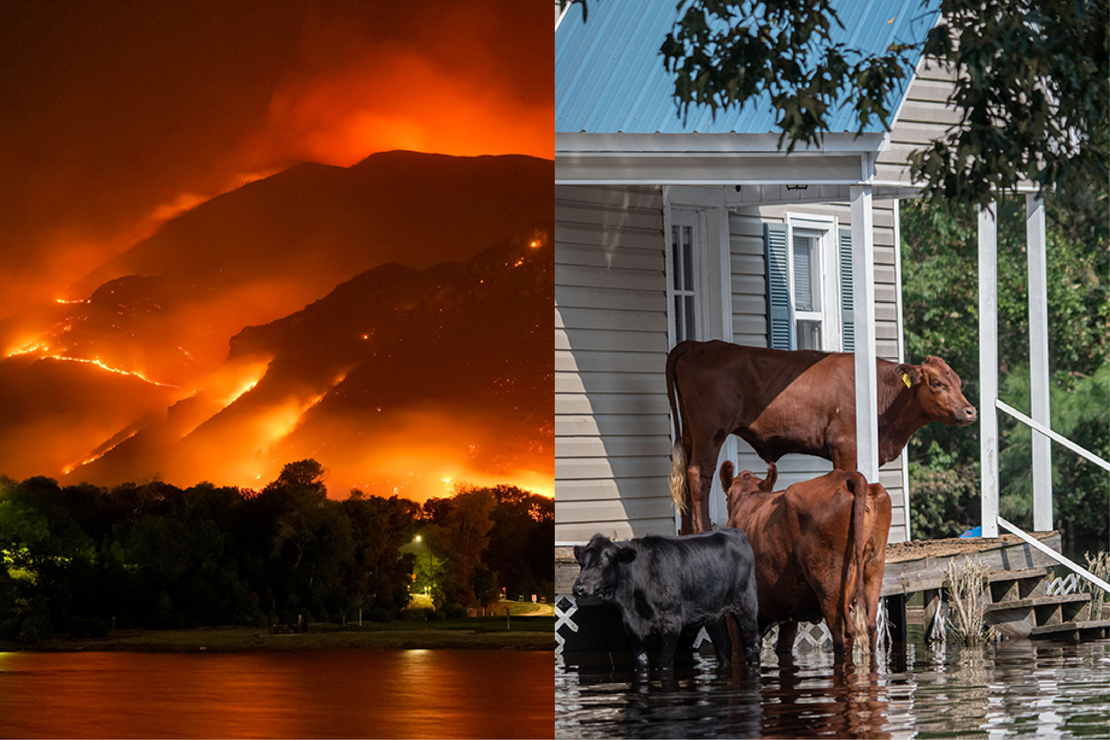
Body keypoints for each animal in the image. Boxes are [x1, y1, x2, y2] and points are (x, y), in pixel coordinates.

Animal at [572, 530, 763, 670]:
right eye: (581, 564)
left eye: (600, 564)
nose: (578, 588)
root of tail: (734, 532)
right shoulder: (631, 628)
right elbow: (642, 662)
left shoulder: (671, 623)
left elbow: (664, 662)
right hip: (713, 615)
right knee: (724, 646)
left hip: (746, 606)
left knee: (752, 643)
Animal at [666, 341, 972, 532]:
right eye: (937, 383)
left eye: (958, 381)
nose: (970, 411)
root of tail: (699, 344)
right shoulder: (845, 446)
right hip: (709, 431)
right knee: (698, 475)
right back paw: (703, 531)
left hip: (691, 432)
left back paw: (686, 533)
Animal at [719, 463, 892, 665]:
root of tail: (845, 476)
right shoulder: (789, 610)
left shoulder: (734, 614)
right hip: (873, 569)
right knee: (871, 627)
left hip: (829, 585)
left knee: (841, 635)